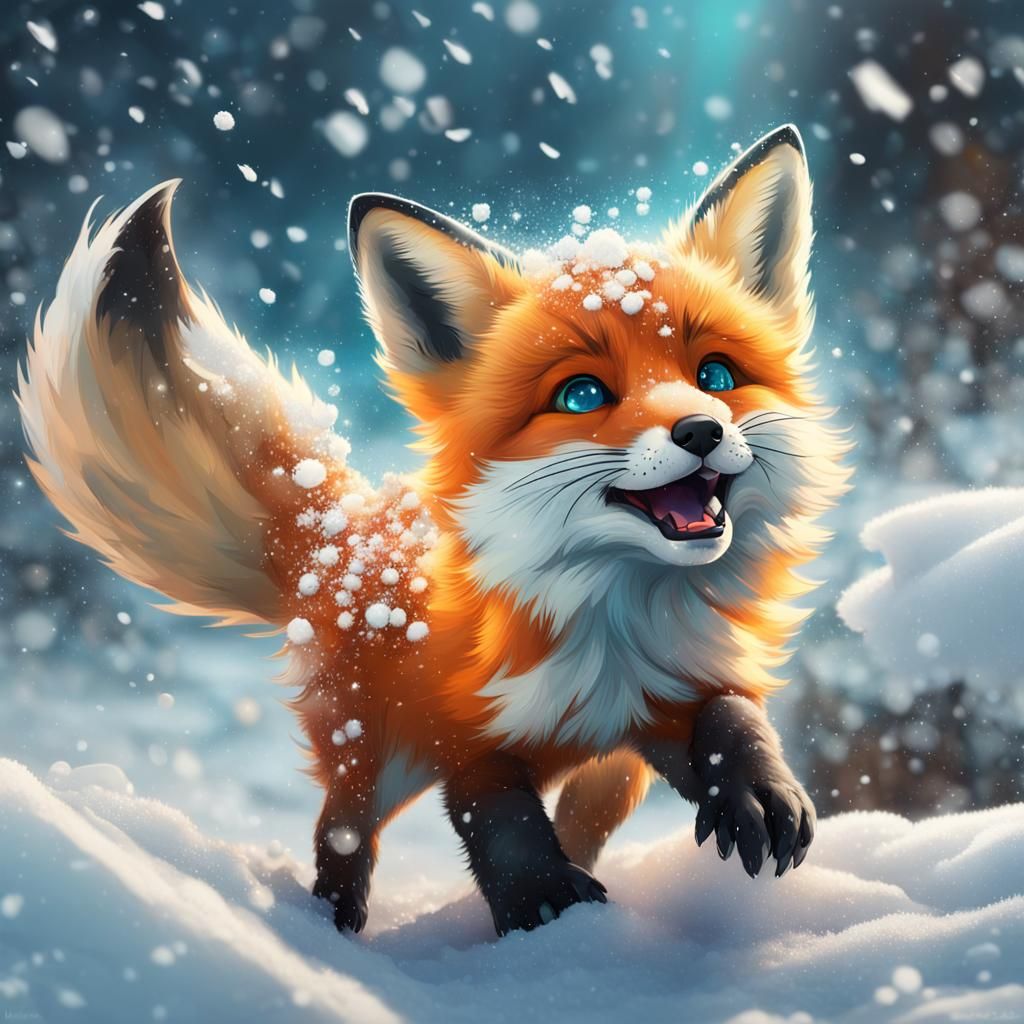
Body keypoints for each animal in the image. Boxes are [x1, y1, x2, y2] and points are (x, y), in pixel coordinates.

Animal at [18, 124, 849, 936]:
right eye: (582, 395)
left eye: (716, 376)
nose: (702, 430)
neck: (608, 615)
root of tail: (345, 529)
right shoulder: (463, 730)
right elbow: (500, 821)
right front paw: (545, 909)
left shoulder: (666, 692)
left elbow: (732, 719)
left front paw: (758, 791)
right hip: (375, 753)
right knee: (342, 832)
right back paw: (334, 927)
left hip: (603, 776)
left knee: (587, 813)